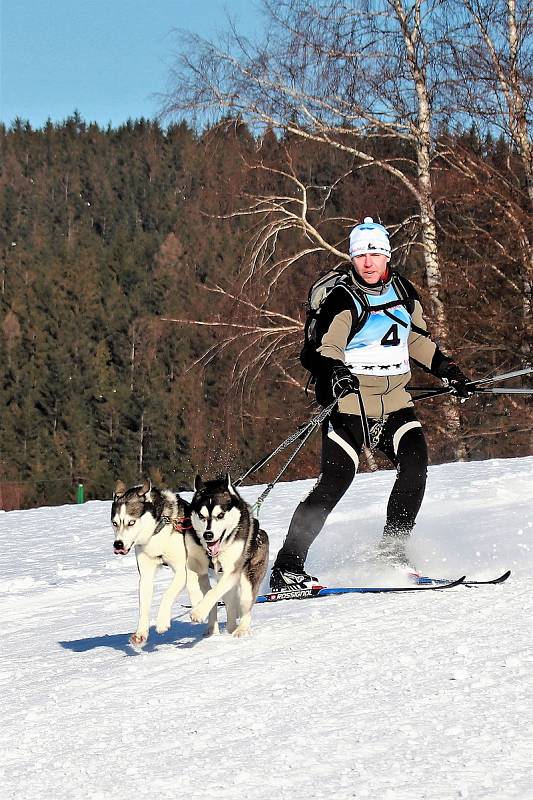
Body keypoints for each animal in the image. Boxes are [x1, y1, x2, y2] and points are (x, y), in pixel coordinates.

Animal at [111, 478, 197, 648]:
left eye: (131, 522)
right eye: (115, 523)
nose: (118, 545)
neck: (158, 530)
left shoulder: (181, 571)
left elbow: (167, 594)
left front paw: (162, 621)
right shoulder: (146, 576)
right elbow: (143, 606)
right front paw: (140, 633)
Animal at [188, 476, 270, 636]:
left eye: (220, 515)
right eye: (201, 516)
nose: (208, 535)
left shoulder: (232, 571)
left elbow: (212, 593)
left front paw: (198, 612)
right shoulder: (199, 570)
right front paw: (211, 629)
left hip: (248, 578)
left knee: (246, 605)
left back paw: (241, 630)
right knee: (230, 604)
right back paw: (230, 628)